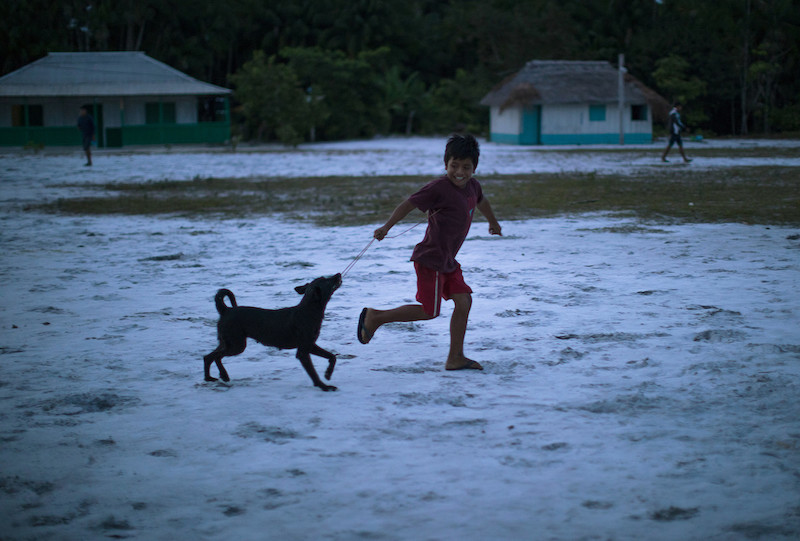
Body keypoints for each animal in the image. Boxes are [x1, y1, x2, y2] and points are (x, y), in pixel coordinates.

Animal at [203, 272, 340, 390]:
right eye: (327, 281)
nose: (338, 274)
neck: (309, 311)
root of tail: (226, 310)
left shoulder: (310, 345)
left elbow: (332, 356)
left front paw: (328, 374)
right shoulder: (303, 351)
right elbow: (313, 373)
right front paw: (324, 387)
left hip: (228, 342)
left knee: (209, 357)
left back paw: (212, 377)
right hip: (237, 345)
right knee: (215, 356)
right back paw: (219, 376)